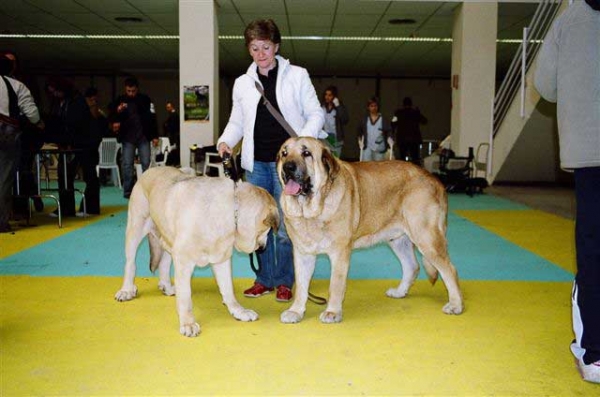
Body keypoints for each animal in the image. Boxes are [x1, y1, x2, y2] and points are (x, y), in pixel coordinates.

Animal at [114, 166, 278, 336]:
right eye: (266, 231)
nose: (263, 247)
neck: (230, 212)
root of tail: (151, 169)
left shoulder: (221, 259)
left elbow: (228, 289)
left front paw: (238, 311)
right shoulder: (184, 262)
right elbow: (185, 297)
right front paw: (188, 323)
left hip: (168, 237)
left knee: (164, 262)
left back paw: (167, 286)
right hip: (135, 229)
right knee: (130, 263)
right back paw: (126, 290)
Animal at [276, 136, 464, 322]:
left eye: (306, 153)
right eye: (284, 153)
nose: (288, 167)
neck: (310, 212)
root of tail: (434, 179)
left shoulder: (340, 252)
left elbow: (335, 285)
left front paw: (333, 312)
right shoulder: (303, 253)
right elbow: (302, 286)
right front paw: (296, 311)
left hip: (426, 238)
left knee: (450, 269)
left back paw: (455, 305)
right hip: (398, 239)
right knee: (412, 266)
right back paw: (399, 292)